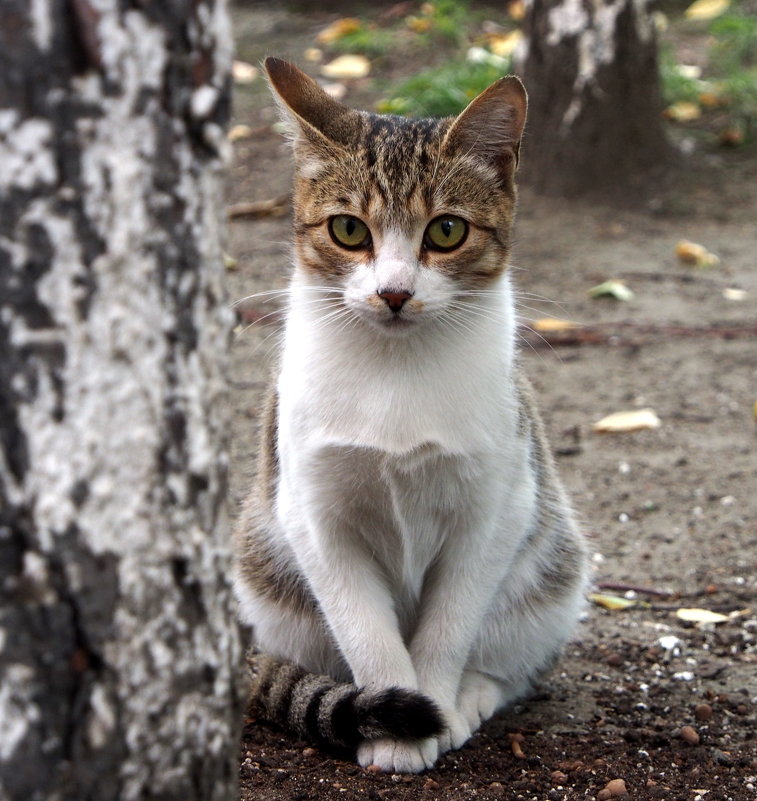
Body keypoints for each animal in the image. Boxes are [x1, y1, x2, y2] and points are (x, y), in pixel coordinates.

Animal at [233, 57, 588, 776]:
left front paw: (438, 707)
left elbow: (449, 627)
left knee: (515, 661)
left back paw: (475, 692)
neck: (393, 372)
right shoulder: (313, 514)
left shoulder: (495, 508)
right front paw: (394, 724)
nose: (393, 293)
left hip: (551, 573)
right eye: (348, 229)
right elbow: (366, 633)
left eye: (446, 231)